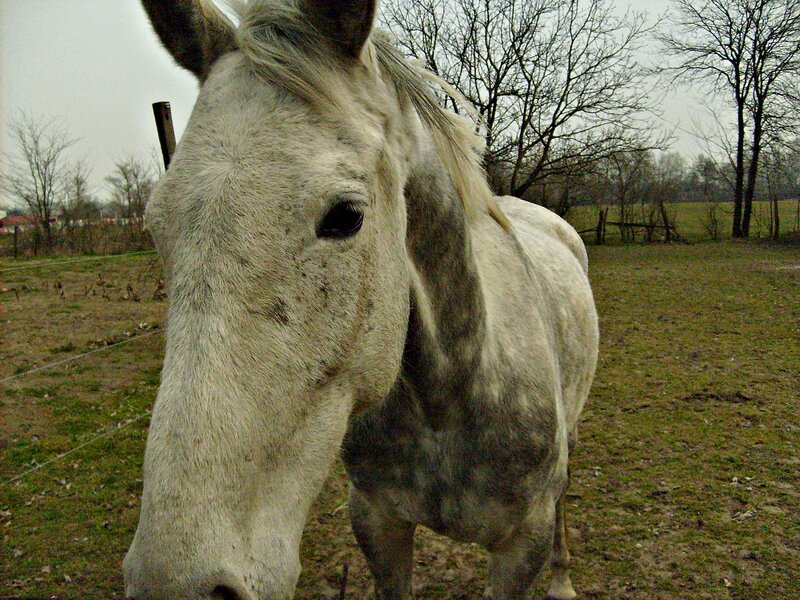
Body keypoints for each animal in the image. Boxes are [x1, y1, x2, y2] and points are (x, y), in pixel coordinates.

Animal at [124, 1, 598, 598]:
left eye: (346, 216)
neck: (450, 396)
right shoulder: (377, 521)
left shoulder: (520, 546)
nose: (179, 581)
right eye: (155, 225)